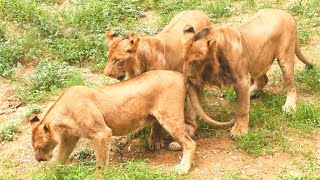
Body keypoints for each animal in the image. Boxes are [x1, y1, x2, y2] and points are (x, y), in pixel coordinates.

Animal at [30, 69, 234, 174]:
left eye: (39, 147)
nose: (39, 159)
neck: (61, 119)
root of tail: (180, 75)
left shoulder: (101, 133)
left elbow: (101, 162)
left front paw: (99, 175)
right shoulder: (69, 139)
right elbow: (59, 159)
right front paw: (52, 173)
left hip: (169, 115)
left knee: (190, 143)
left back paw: (182, 167)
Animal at [104, 9, 211, 150]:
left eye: (117, 60)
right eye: (108, 57)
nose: (106, 74)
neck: (138, 65)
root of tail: (200, 11)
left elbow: (156, 121)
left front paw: (155, 141)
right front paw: (127, 136)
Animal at [181, 8, 314, 138]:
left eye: (195, 62)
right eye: (184, 59)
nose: (186, 76)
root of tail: (287, 14)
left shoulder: (242, 80)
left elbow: (242, 109)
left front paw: (239, 131)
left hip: (285, 58)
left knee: (291, 86)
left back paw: (289, 107)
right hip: (258, 59)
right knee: (263, 81)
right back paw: (250, 92)